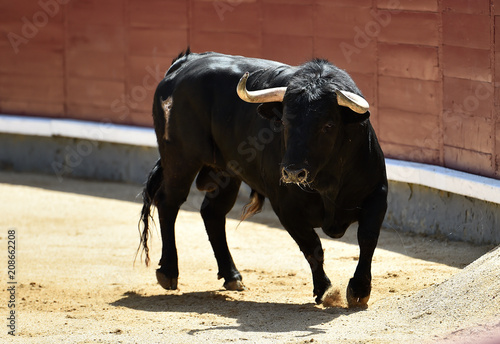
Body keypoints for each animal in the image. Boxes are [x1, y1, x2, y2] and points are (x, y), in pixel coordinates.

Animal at [139, 49, 388, 306]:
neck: (327, 179)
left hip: (225, 172)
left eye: (328, 125)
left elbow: (367, 238)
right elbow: (313, 247)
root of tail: (185, 62)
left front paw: (359, 290)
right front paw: (325, 290)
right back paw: (169, 272)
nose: (293, 172)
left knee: (212, 212)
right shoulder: (286, 208)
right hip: (180, 159)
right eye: (284, 121)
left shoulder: (377, 193)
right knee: (169, 203)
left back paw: (232, 276)